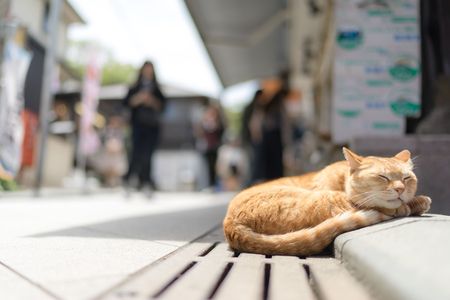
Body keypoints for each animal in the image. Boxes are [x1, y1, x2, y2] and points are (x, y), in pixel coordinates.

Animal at [223, 148, 430, 255]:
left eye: (406, 178)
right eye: (383, 177)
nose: (400, 189)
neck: (343, 176)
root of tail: (230, 224)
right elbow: (397, 206)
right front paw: (416, 202)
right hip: (325, 201)